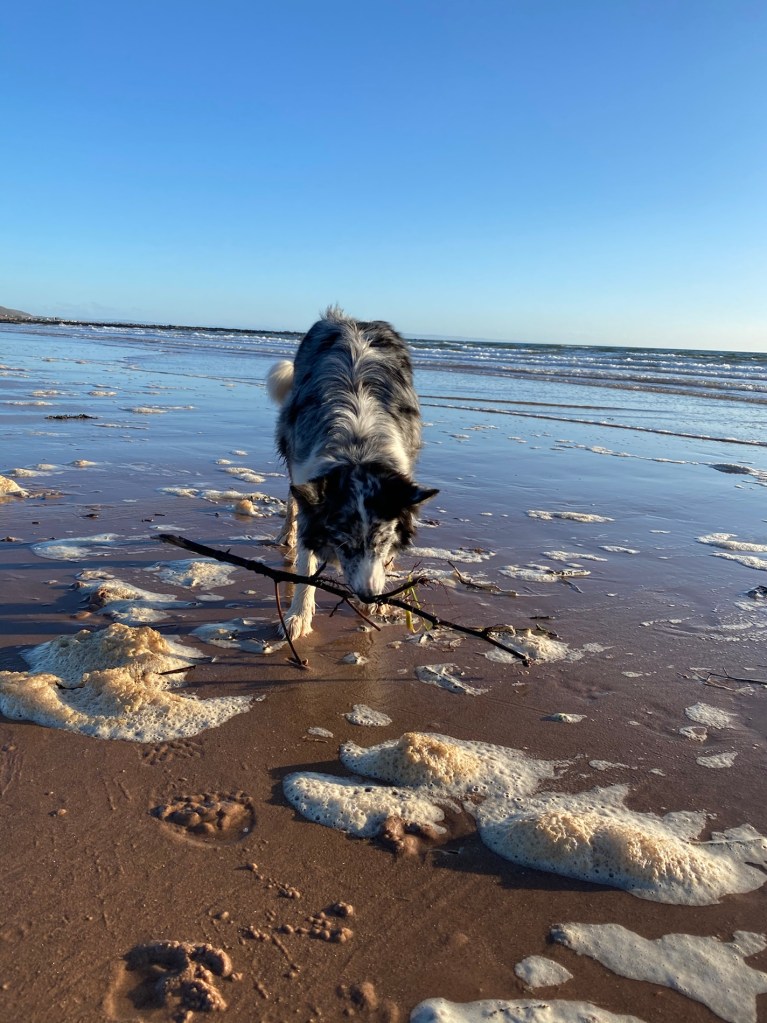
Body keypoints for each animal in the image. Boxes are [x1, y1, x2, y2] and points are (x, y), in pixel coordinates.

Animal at [267, 306, 438, 639]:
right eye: (344, 545)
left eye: (382, 541)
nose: (368, 596)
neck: (358, 448)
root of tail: (346, 318)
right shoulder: (309, 474)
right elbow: (306, 565)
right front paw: (298, 616)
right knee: (292, 499)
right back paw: (286, 534)